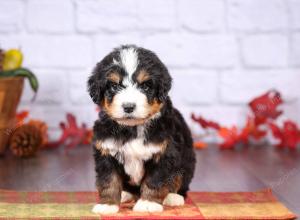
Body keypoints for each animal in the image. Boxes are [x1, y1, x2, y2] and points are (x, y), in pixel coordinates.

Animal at [87, 44, 195, 213]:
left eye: (145, 86)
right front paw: (107, 204)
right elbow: (109, 180)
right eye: (114, 86)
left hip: (187, 160)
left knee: (180, 180)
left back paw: (173, 197)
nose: (128, 107)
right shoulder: (106, 151)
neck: (132, 128)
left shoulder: (164, 152)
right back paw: (125, 194)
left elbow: (155, 179)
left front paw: (148, 203)